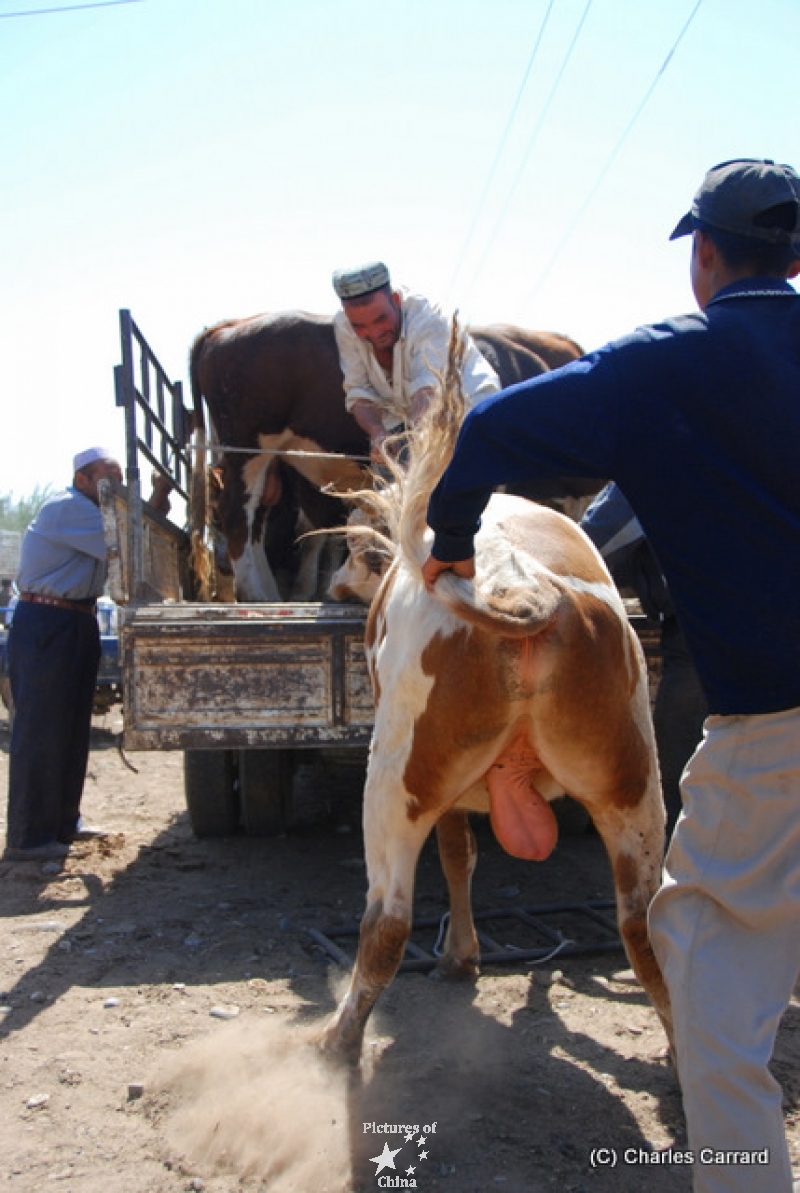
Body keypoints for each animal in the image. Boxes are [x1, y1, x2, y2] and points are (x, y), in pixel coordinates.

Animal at [317, 329, 667, 1064]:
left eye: (356, 554)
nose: (330, 587)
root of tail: (526, 588)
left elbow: (458, 853)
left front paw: (460, 956)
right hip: (632, 786)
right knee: (648, 928)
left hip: (395, 782)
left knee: (387, 922)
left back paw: (337, 1038)